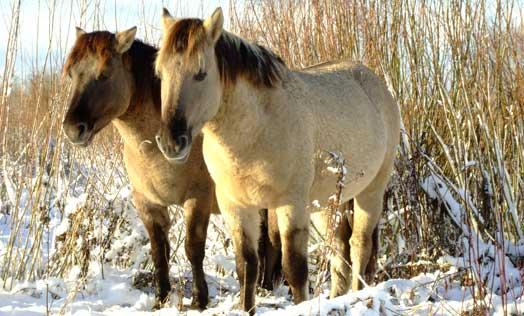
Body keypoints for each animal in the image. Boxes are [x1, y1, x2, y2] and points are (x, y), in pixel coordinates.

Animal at [61, 28, 280, 310]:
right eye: (71, 74)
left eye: (104, 73)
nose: (72, 129)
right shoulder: (148, 203)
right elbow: (159, 252)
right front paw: (160, 298)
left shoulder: (197, 199)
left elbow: (193, 249)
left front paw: (199, 300)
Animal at [154, 7, 400, 314]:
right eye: (160, 73)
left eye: (201, 74)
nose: (170, 142)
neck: (257, 129)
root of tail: (375, 83)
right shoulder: (237, 208)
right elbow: (247, 267)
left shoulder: (290, 205)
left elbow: (295, 270)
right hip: (327, 204)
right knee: (339, 252)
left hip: (371, 192)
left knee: (359, 245)